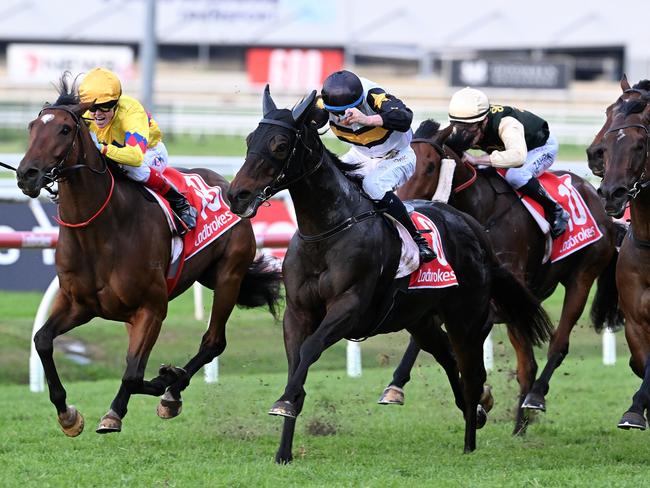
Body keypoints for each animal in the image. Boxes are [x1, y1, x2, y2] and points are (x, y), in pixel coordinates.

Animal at [225, 87, 548, 466]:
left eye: (279, 145)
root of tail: (472, 227)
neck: (327, 231)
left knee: (470, 372)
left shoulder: (350, 308)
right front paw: (284, 447)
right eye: (250, 139)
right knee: (449, 359)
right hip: (421, 320)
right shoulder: (298, 311)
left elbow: (310, 349)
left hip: (466, 319)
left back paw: (471, 437)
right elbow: (297, 362)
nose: (237, 195)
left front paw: (284, 403)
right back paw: (474, 412)